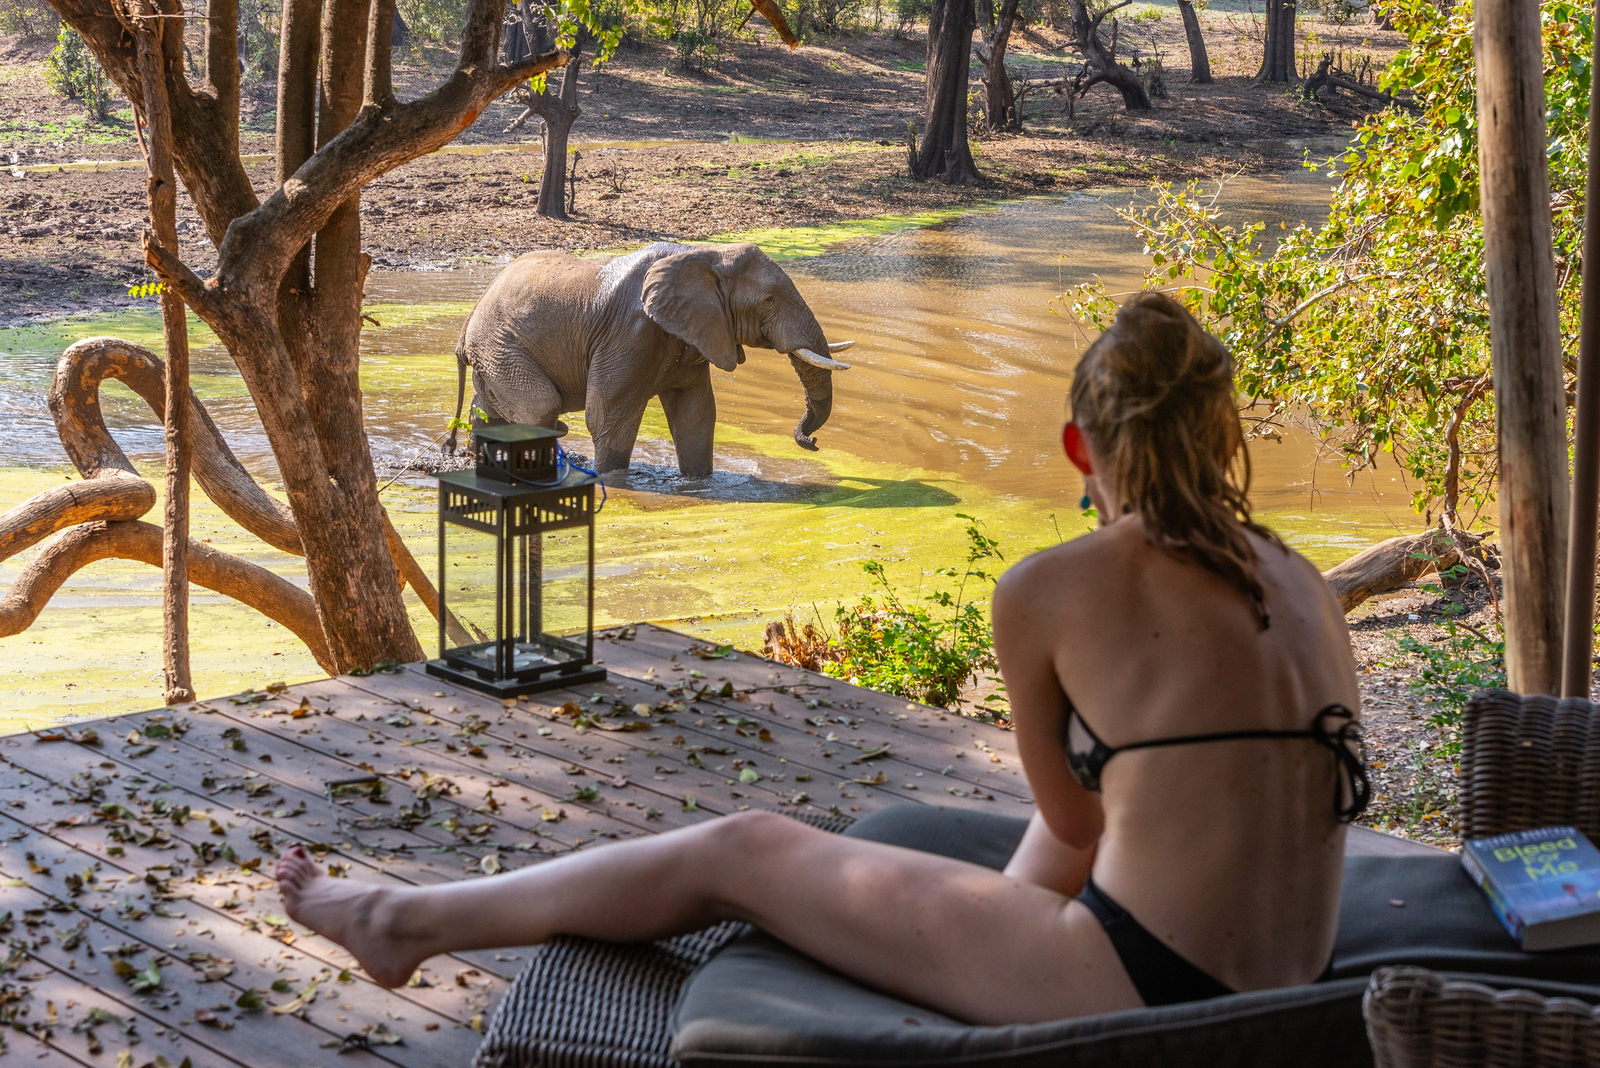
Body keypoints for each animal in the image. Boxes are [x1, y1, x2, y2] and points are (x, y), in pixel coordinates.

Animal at [447, 241, 856, 478]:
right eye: (769, 300)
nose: (812, 443)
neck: (704, 252)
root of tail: (467, 326)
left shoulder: (693, 333)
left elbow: (696, 415)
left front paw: (698, 484)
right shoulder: (630, 331)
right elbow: (607, 416)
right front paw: (612, 481)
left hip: (495, 354)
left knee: (489, 412)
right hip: (502, 346)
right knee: (540, 409)